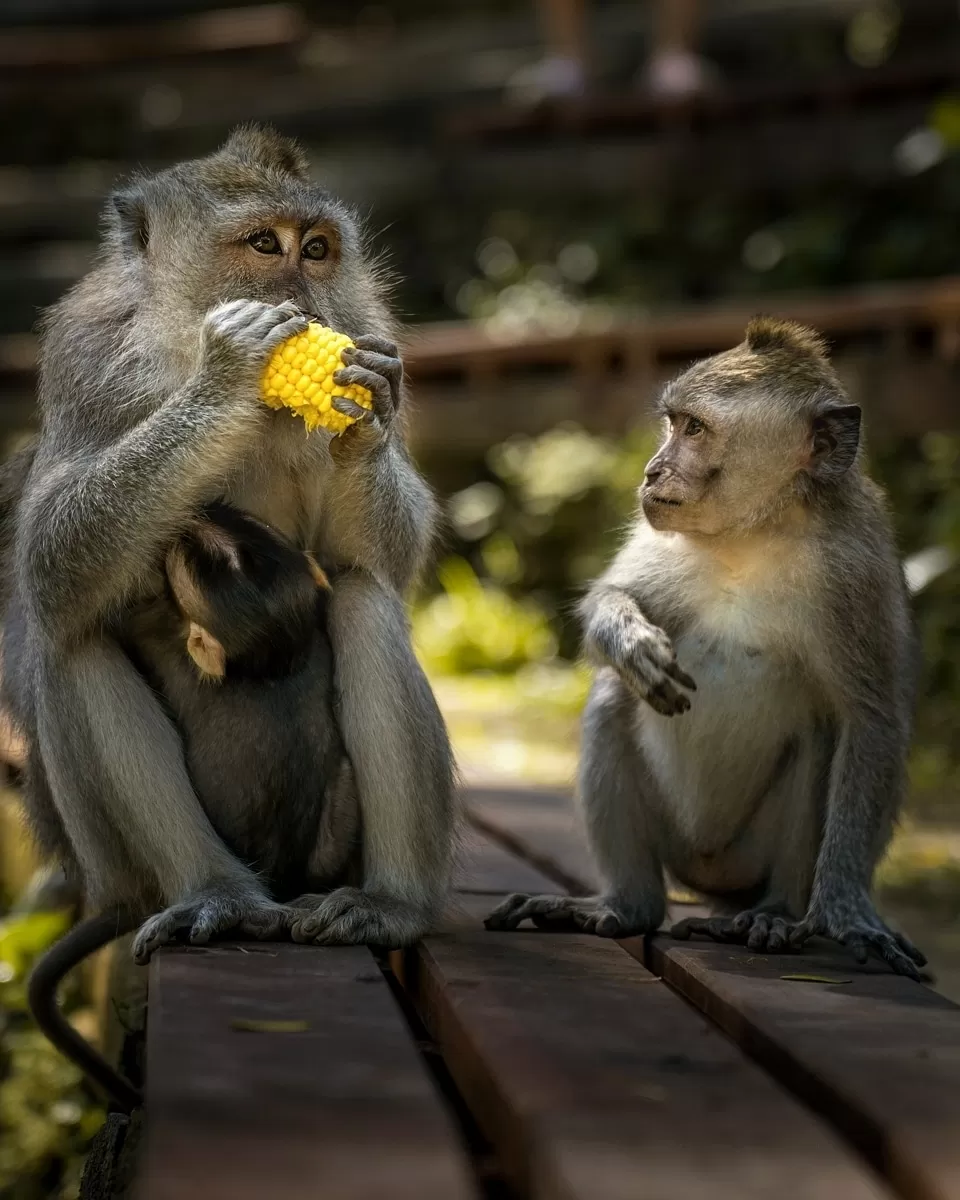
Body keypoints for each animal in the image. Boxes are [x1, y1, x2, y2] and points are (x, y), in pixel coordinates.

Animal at [492, 316, 926, 974]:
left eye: (695, 429)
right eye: (672, 422)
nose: (651, 471)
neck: (756, 534)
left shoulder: (857, 570)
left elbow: (871, 721)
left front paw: (848, 912)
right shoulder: (660, 534)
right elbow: (608, 598)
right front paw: (629, 639)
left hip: (746, 856)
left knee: (820, 738)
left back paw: (773, 915)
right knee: (613, 701)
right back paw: (627, 905)